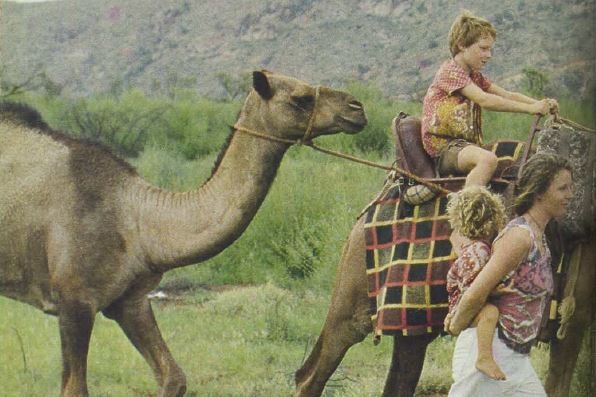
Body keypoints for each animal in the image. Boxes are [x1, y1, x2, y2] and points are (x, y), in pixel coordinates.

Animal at [0, 71, 368, 396]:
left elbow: (173, 378)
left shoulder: (130, 299)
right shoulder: (74, 300)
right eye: (301, 98)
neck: (137, 217)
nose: (357, 107)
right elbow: (74, 389)